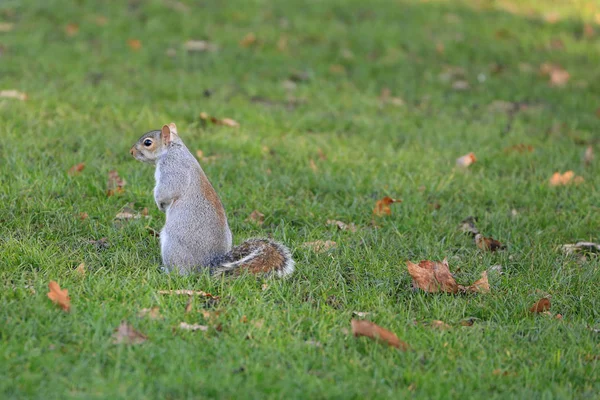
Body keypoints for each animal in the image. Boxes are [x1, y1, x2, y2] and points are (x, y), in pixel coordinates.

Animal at [130, 122, 294, 278]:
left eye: (147, 142)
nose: (131, 152)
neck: (173, 149)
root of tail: (207, 265)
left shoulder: (172, 170)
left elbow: (166, 191)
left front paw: (160, 204)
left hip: (171, 244)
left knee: (181, 272)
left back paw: (166, 271)